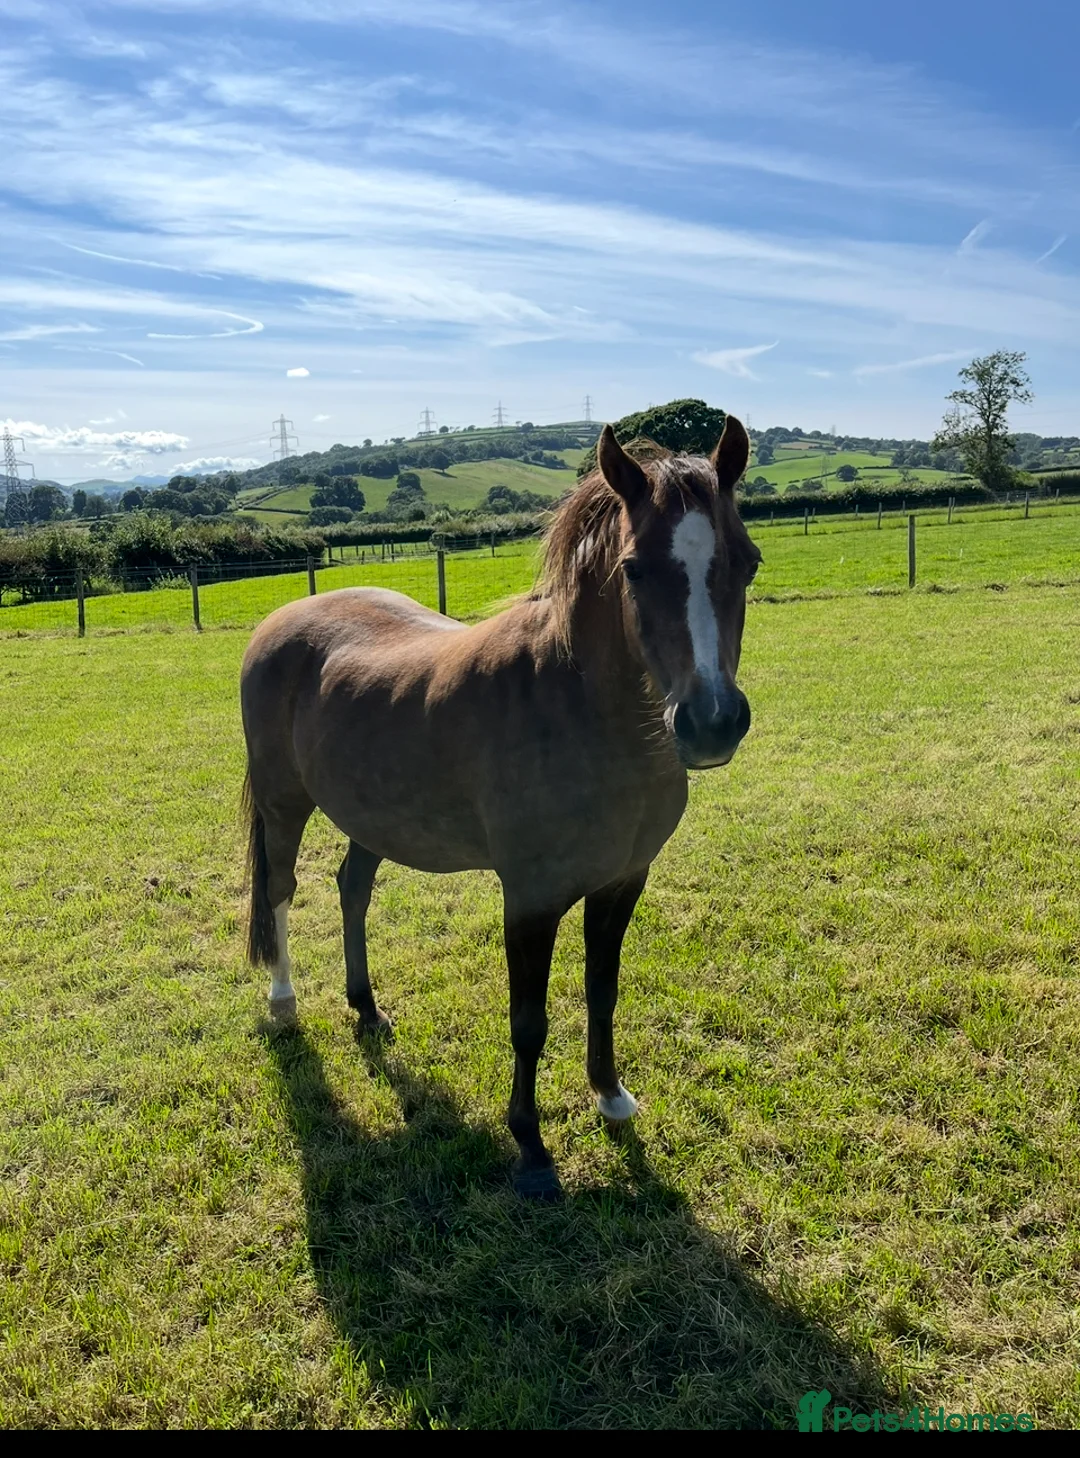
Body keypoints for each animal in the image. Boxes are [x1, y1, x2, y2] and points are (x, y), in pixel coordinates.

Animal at [240, 416, 761, 1199]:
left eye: (748, 563)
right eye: (634, 570)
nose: (712, 723)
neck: (581, 710)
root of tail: (280, 620)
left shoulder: (621, 883)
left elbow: (602, 991)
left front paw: (611, 1098)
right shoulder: (531, 897)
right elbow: (528, 1021)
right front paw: (532, 1150)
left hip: (370, 815)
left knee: (352, 889)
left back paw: (366, 1009)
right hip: (283, 804)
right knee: (279, 889)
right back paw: (283, 1002)